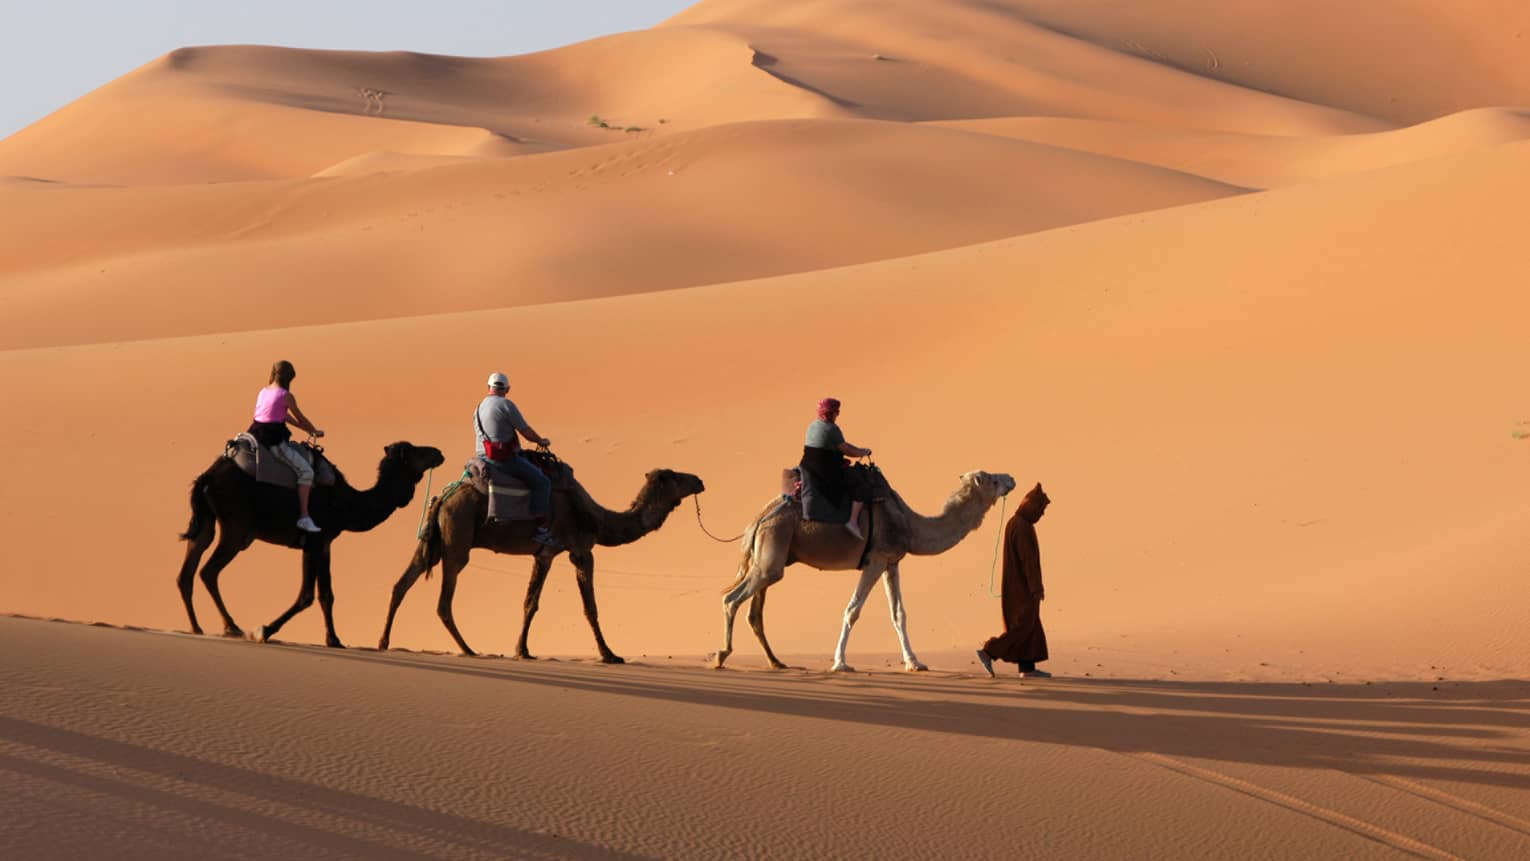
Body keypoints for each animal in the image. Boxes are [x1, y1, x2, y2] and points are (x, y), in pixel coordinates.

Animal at [176, 441, 446, 647]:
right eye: (417, 452)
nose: (438, 452)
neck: (348, 505)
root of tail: (207, 477)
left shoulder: (322, 544)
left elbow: (325, 594)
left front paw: (333, 639)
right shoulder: (316, 541)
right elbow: (308, 595)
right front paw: (264, 630)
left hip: (208, 521)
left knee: (187, 570)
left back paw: (196, 627)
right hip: (237, 527)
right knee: (208, 571)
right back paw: (232, 627)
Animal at [378, 464, 705, 662]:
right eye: (676, 476)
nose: (700, 480)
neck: (598, 519)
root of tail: (443, 497)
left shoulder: (544, 554)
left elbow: (530, 602)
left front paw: (522, 650)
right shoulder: (580, 550)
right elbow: (590, 607)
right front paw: (609, 654)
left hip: (432, 543)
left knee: (401, 584)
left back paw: (383, 642)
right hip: (457, 541)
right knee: (443, 602)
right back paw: (469, 649)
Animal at [711, 470, 1016, 672]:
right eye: (992, 479)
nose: (1011, 478)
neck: (909, 524)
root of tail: (757, 519)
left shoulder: (892, 562)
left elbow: (899, 613)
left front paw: (914, 662)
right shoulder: (875, 560)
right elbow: (853, 610)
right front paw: (840, 663)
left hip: (772, 555)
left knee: (755, 611)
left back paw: (776, 662)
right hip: (773, 549)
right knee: (730, 599)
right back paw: (721, 655)